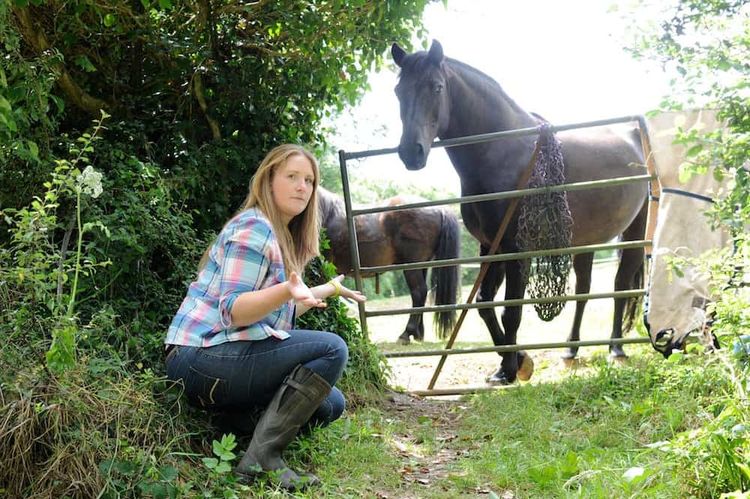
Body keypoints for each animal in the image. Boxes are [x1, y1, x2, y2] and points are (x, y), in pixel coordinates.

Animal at [318, 186, 462, 346]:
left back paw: (406, 334)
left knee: (419, 292)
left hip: (412, 266)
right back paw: (418, 333)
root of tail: (440, 209)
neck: (327, 213)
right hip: (422, 266)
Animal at [390, 41, 648, 384]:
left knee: (621, 285)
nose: (411, 152)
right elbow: (485, 304)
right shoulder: (492, 246)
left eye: (436, 87)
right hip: (586, 241)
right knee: (583, 290)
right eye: (398, 91)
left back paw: (616, 349)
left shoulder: (517, 248)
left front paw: (512, 368)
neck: (504, 152)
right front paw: (513, 362)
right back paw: (571, 350)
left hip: (635, 231)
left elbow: (510, 310)